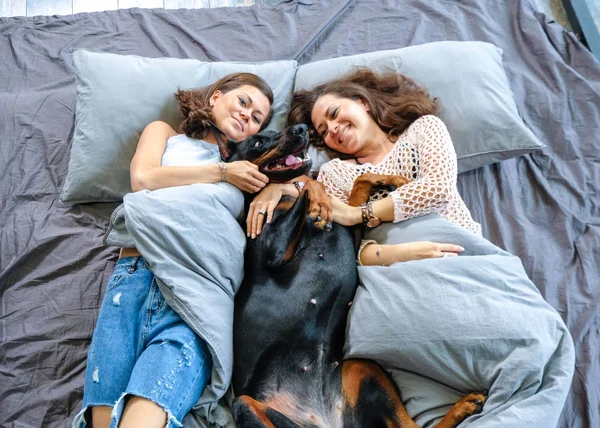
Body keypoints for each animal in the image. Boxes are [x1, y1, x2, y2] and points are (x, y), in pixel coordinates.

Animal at [230, 130, 488, 428]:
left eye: (274, 133)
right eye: (258, 142)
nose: (301, 129)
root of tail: (324, 419)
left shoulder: (350, 230)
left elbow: (358, 184)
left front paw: (393, 181)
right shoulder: (274, 250)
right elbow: (309, 184)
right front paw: (319, 199)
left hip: (361, 368)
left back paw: (466, 405)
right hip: (246, 404)